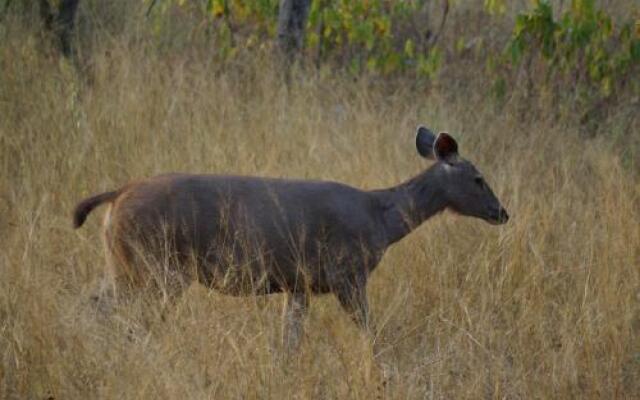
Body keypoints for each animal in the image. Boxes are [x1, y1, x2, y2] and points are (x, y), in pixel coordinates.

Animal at [72, 126, 508, 348]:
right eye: (478, 178)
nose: (502, 212)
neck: (381, 220)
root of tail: (117, 195)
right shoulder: (348, 275)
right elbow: (370, 332)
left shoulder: (298, 284)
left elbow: (289, 341)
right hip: (158, 267)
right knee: (127, 319)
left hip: (123, 263)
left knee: (93, 305)